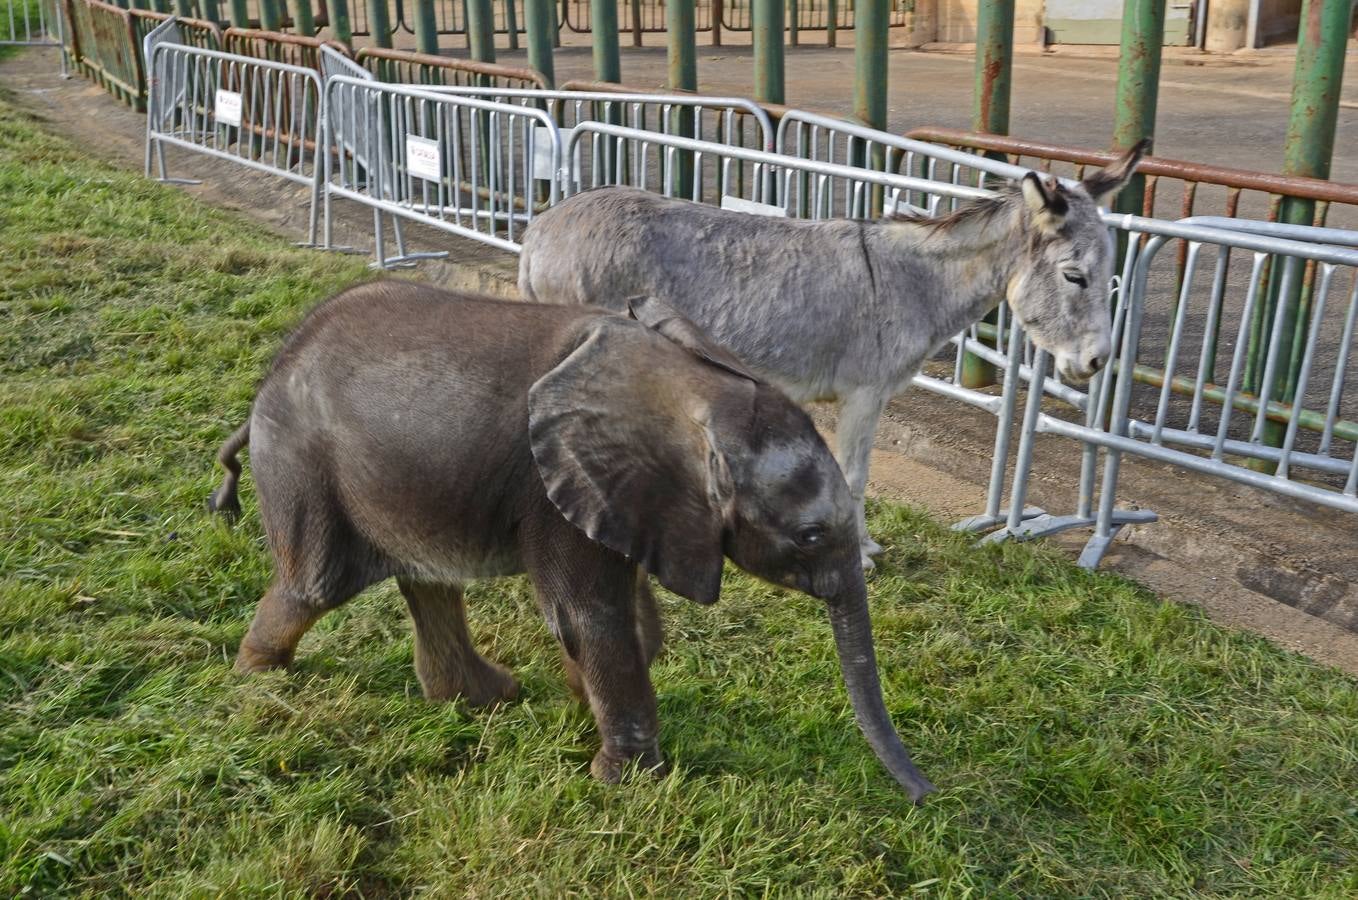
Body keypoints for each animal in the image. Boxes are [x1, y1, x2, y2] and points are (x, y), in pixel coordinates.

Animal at [209, 282, 934, 803]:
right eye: (809, 536)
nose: (926, 794)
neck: (693, 384)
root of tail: (270, 377)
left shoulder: (623, 497)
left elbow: (633, 622)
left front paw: (581, 704)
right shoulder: (554, 485)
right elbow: (591, 618)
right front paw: (627, 783)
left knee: (428, 582)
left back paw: (485, 698)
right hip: (305, 465)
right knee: (316, 584)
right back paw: (259, 679)